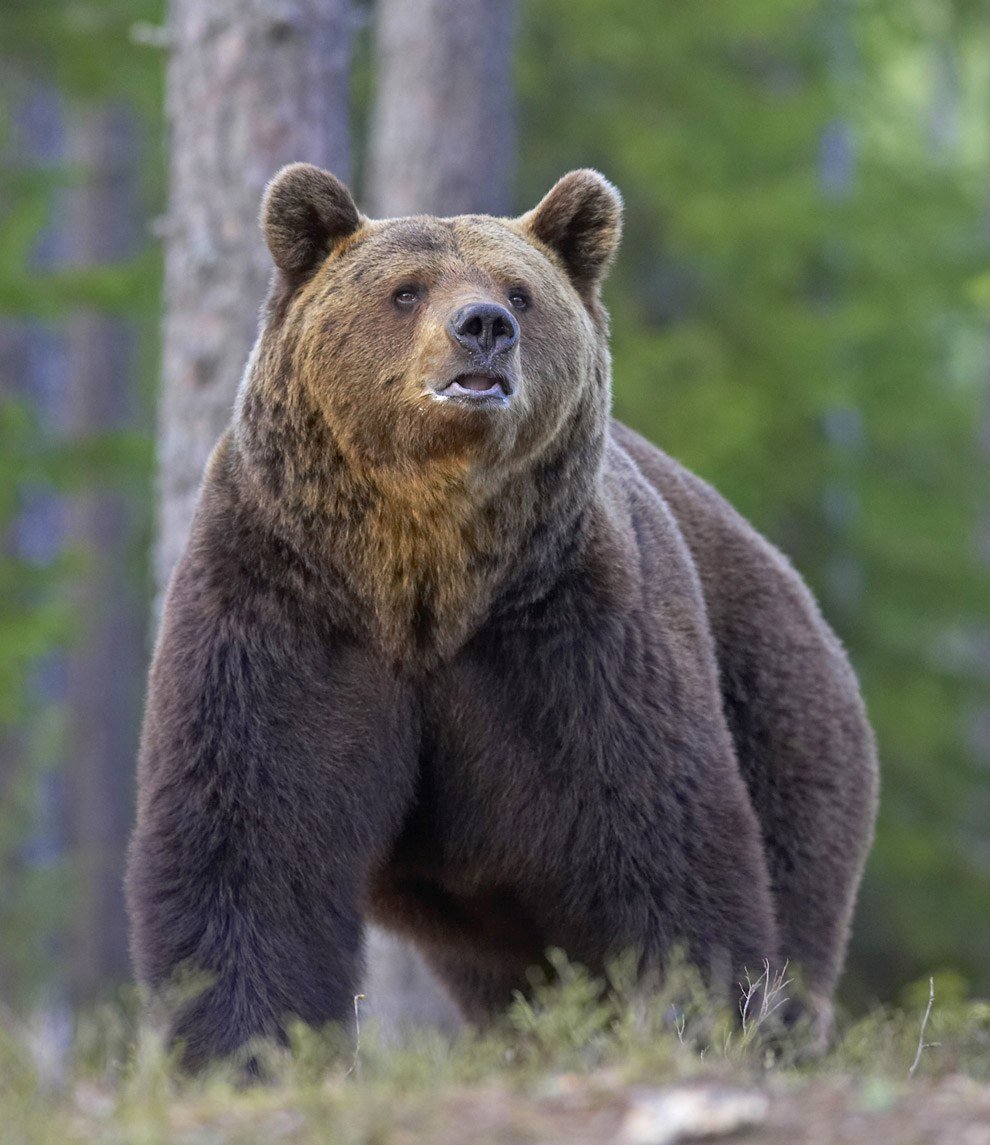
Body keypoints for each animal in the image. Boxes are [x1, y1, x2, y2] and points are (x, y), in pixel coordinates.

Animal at [126, 163, 879, 1070]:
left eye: (521, 292)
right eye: (406, 290)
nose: (482, 327)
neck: (424, 576)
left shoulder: (568, 631)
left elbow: (661, 831)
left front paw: (693, 1017)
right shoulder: (285, 604)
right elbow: (252, 834)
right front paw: (243, 1047)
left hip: (781, 716)